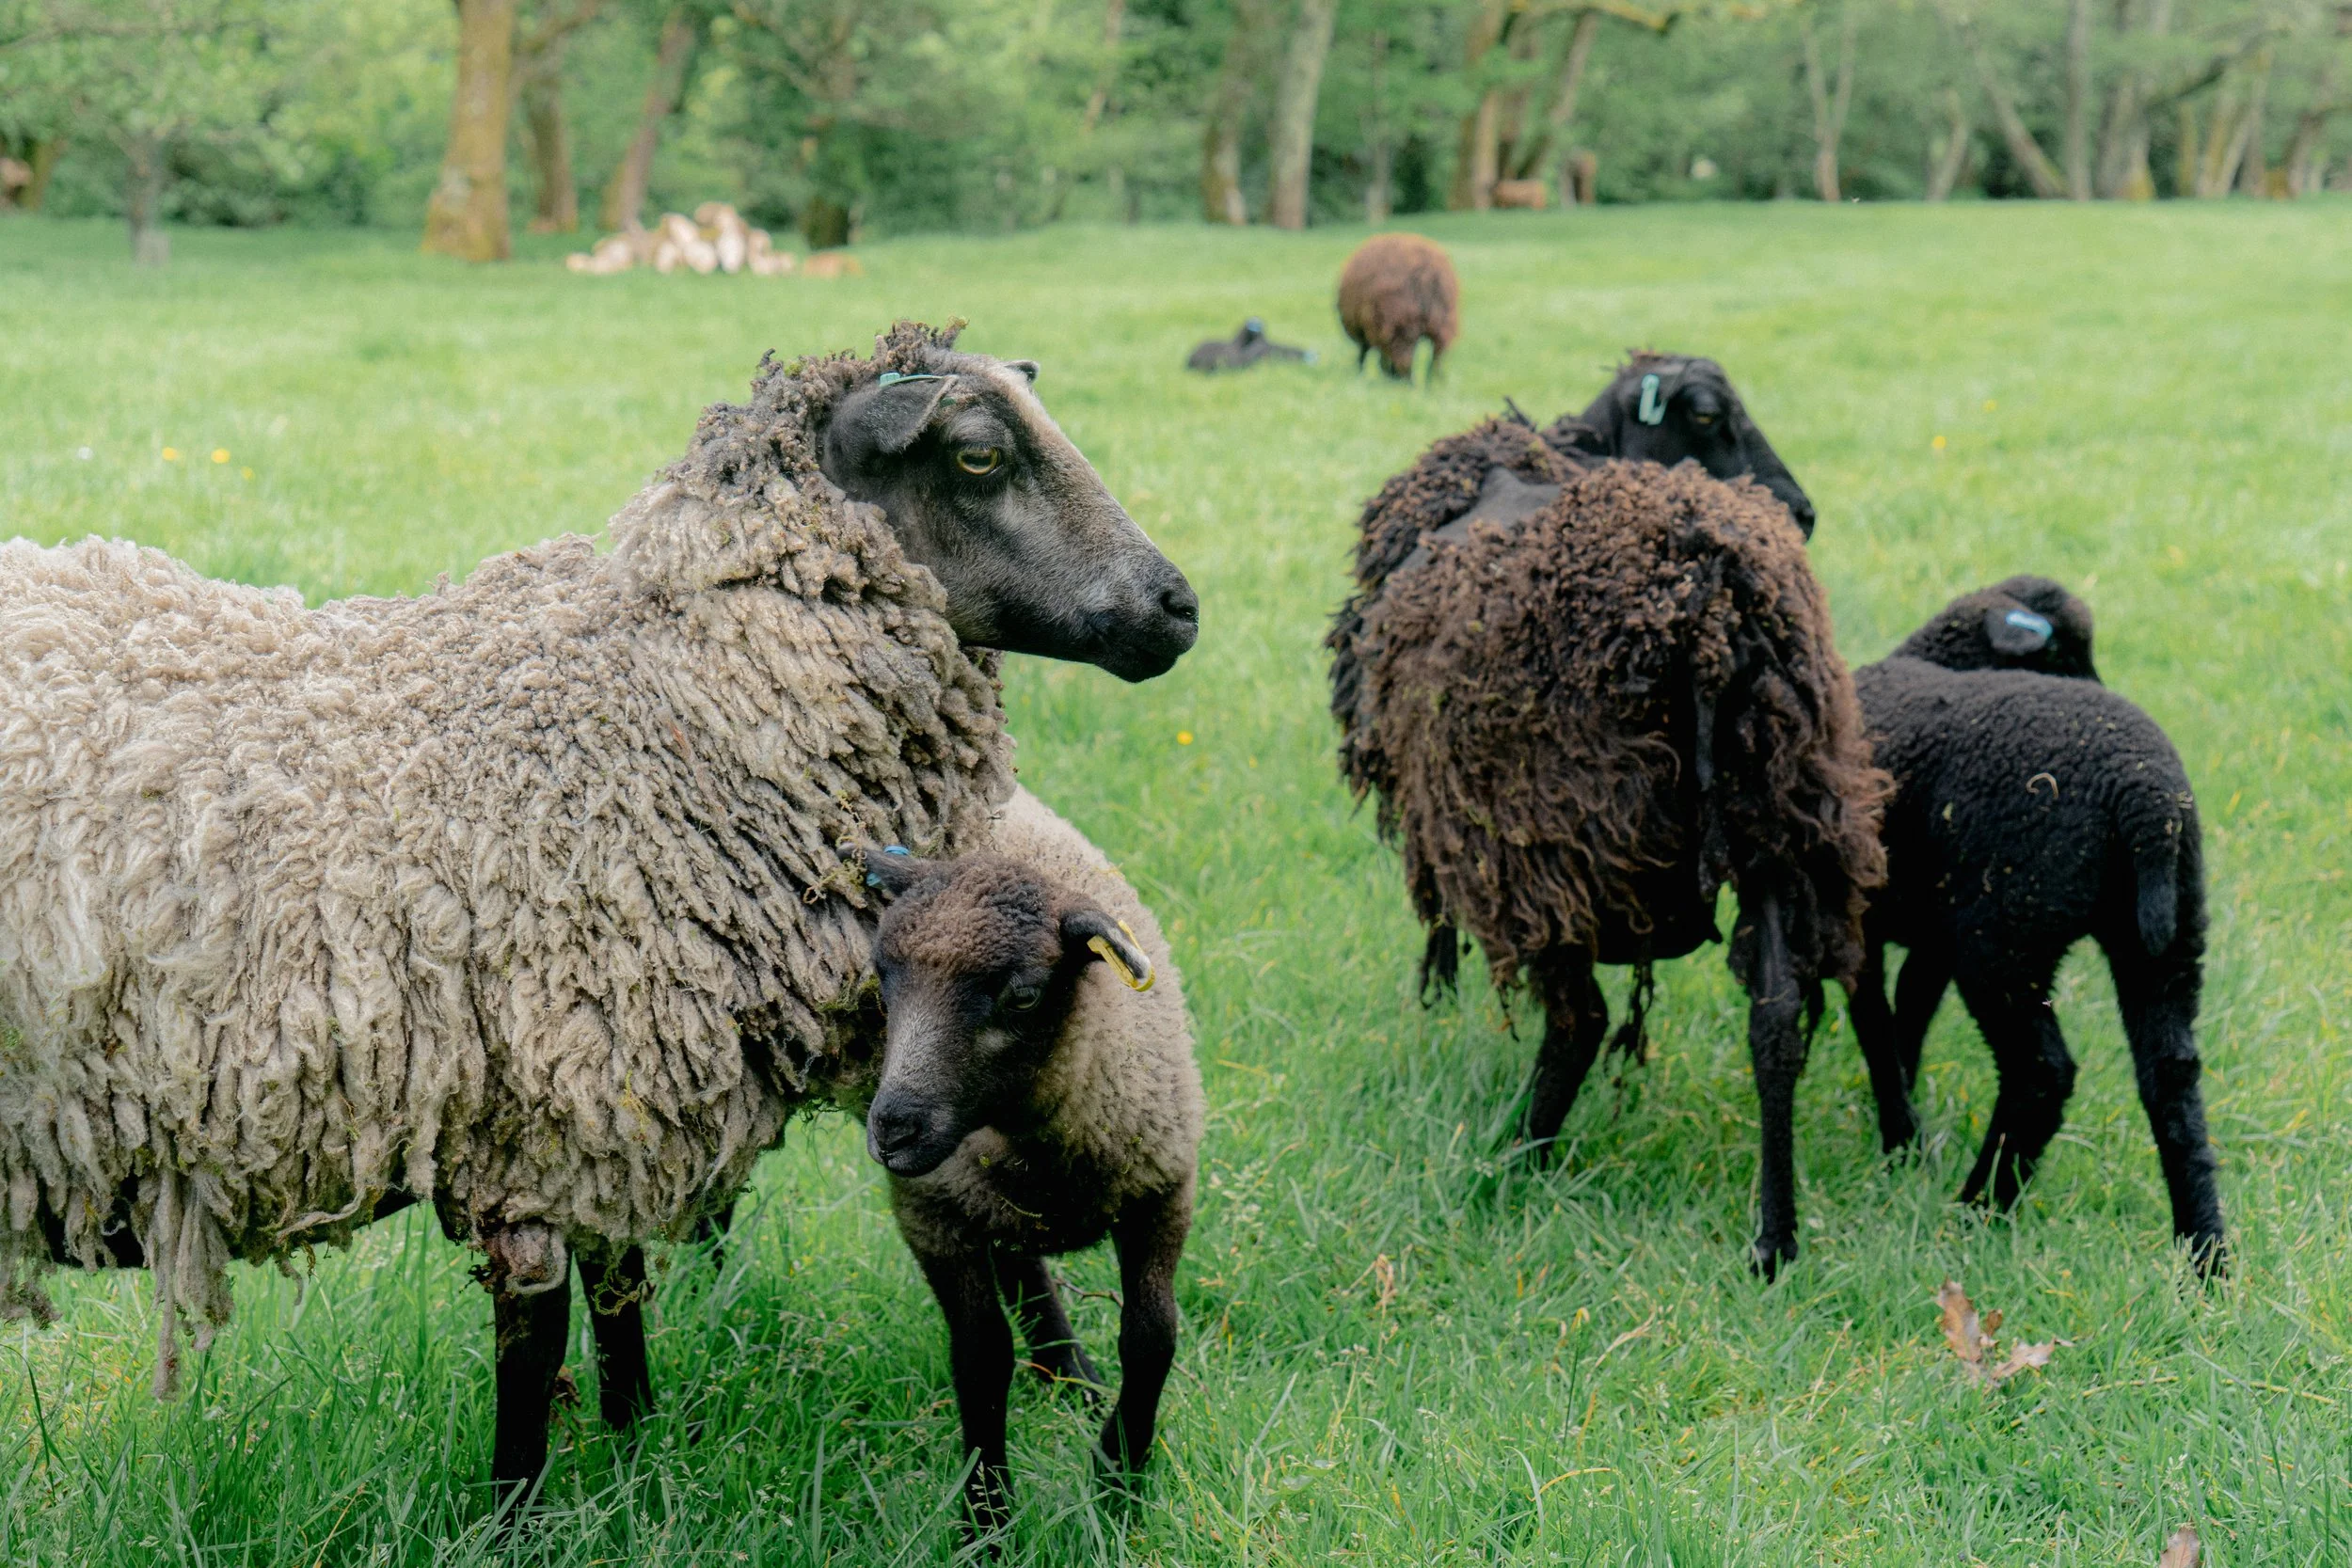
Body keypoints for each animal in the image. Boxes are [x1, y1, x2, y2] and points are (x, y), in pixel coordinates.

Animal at [854, 785, 1200, 1539]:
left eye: (1022, 994)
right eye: (881, 981)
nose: (892, 1131)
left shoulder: (1163, 1192)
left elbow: (1153, 1337)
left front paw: (1120, 1483)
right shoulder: (932, 1213)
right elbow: (982, 1359)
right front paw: (986, 1519)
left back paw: (1071, 1375)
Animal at [1326, 397, 1885, 1275]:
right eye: (1707, 414)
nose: (1802, 511)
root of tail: (1716, 596)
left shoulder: (1447, 812)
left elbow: (1441, 922)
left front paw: (1439, 989)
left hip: (1549, 841)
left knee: (1580, 1018)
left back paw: (1511, 1161)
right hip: (1778, 809)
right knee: (1776, 1014)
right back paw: (1775, 1238)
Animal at [1337, 233, 1460, 381]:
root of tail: (1425, 275)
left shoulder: (1374, 329)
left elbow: (1368, 354)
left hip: (1401, 325)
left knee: (1403, 359)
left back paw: (1403, 380)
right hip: (1441, 323)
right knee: (1436, 357)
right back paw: (1432, 382)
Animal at [1847, 579, 2224, 1270]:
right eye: (2064, 653)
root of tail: (2145, 794)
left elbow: (1876, 1021)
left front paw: (1897, 1137)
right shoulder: (1936, 934)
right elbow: (1906, 1011)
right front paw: (1900, 1118)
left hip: (2007, 936)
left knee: (2042, 1073)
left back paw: (1977, 1209)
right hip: (2167, 938)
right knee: (2174, 1073)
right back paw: (2207, 1257)